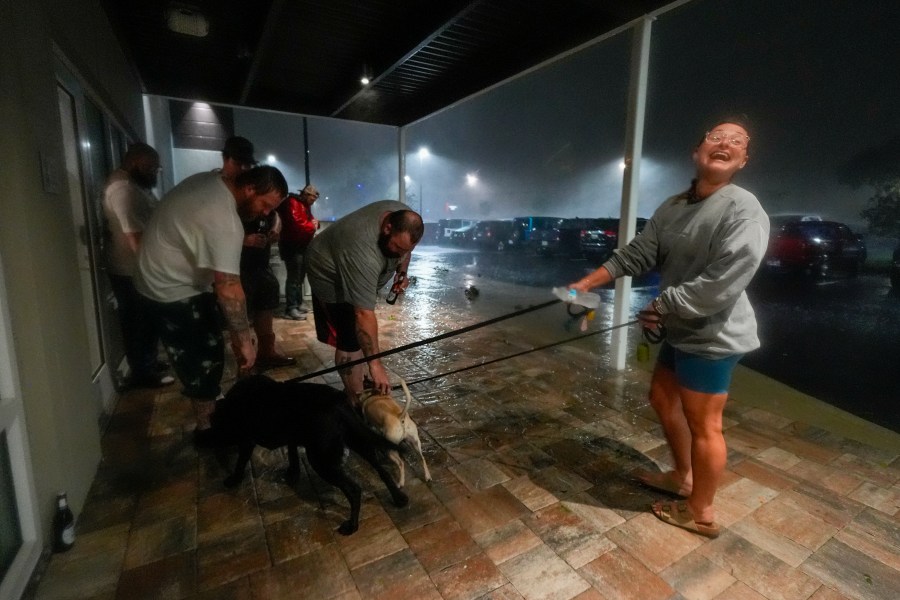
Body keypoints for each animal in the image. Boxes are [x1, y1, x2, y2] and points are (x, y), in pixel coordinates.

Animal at [211, 376, 408, 536]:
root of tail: (338, 404)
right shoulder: (292, 436)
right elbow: (292, 454)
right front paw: (292, 473)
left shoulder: (247, 440)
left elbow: (240, 461)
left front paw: (233, 479)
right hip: (358, 442)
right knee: (383, 472)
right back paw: (399, 499)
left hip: (320, 460)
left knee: (354, 490)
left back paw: (352, 526)